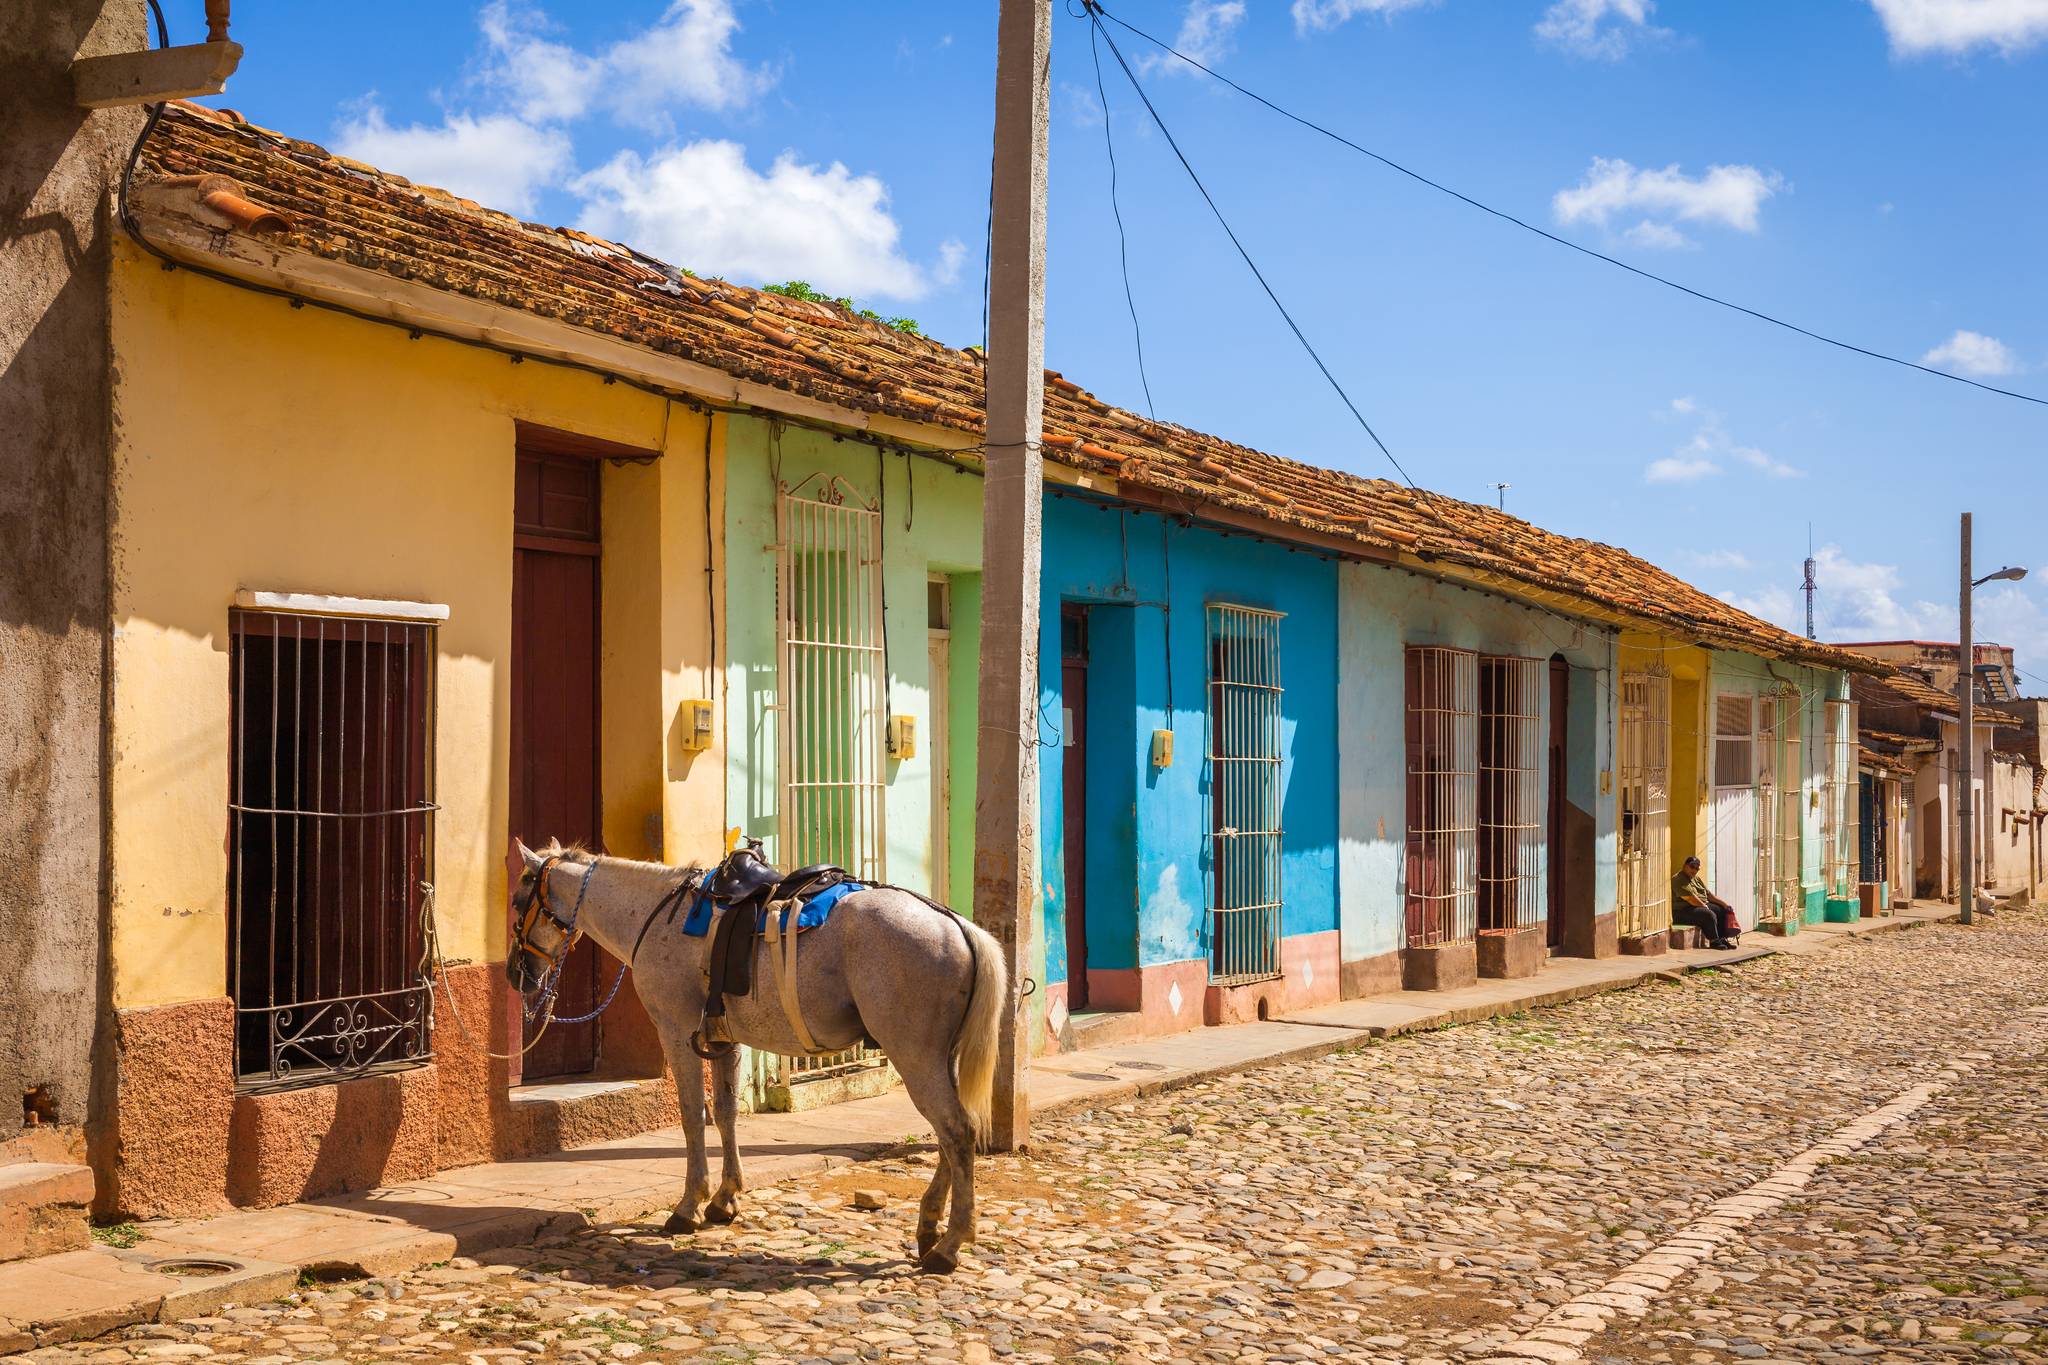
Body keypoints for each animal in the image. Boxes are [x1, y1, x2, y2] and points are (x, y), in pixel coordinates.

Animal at [503, 839, 999, 1277]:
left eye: (517, 902)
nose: (514, 974)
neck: (654, 915)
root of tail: (957, 926)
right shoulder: (726, 1039)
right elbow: (725, 1112)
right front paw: (725, 1200)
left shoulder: (676, 1031)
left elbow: (692, 1115)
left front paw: (689, 1206)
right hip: (939, 1058)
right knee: (952, 1133)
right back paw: (929, 1228)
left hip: (914, 1056)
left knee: (956, 1132)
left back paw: (950, 1246)